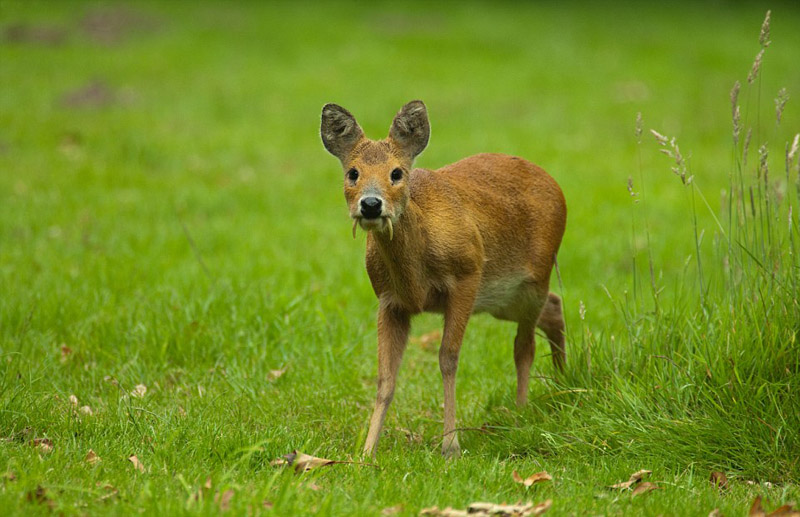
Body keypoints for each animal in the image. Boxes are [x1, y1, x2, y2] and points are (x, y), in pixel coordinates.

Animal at [320, 100, 568, 456]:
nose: (370, 204)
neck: (415, 275)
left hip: (533, 278)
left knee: (525, 343)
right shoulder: (389, 300)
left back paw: (523, 409)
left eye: (397, 173)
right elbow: (386, 377)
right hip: (504, 299)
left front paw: (450, 445)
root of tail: (555, 184)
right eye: (352, 173)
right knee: (554, 307)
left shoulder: (467, 275)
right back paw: (563, 384)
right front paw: (366, 452)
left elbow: (448, 358)